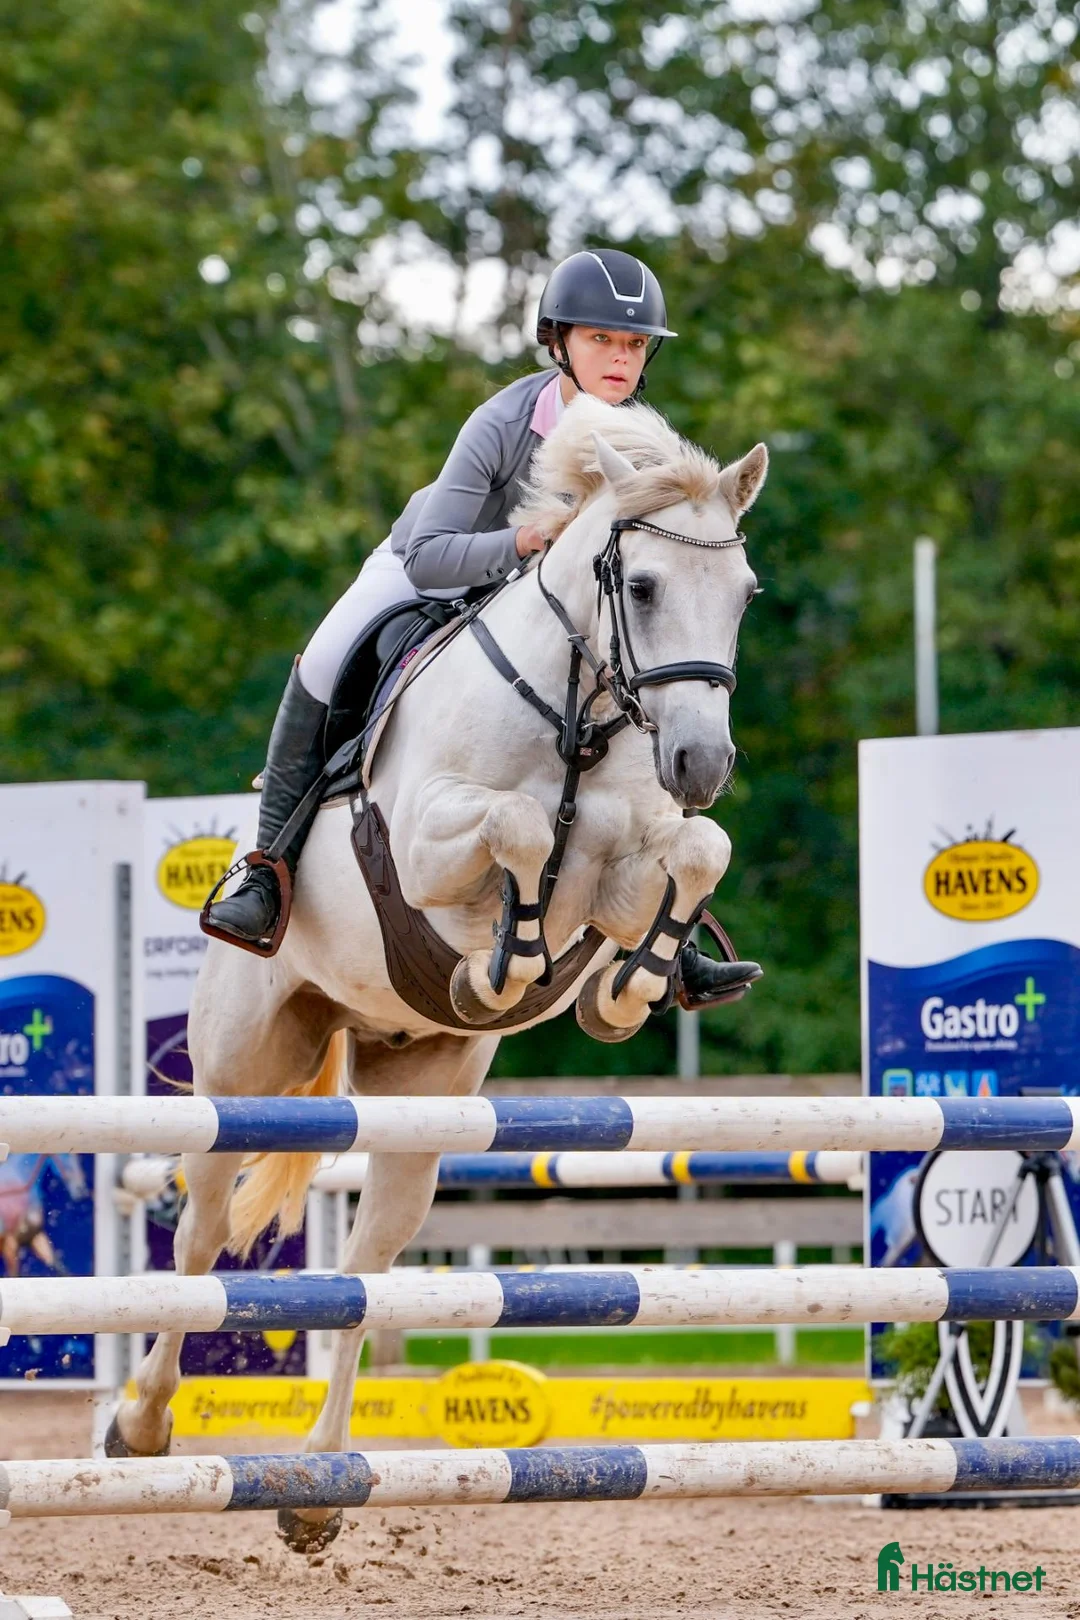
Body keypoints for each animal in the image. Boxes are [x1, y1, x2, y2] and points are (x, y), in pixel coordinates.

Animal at [108, 395, 768, 1551]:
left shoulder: (638, 859)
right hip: (241, 1069)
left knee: (366, 1274)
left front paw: (630, 985)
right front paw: (508, 959)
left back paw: (319, 1489)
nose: (702, 764)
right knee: (200, 1237)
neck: (578, 716)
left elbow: (696, 853)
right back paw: (141, 1426)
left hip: (420, 1099)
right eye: (641, 586)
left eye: (743, 596)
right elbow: (517, 832)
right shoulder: (422, 844)